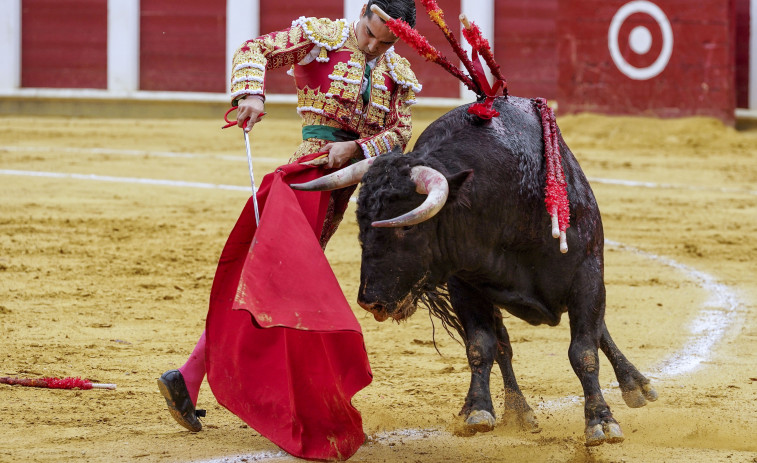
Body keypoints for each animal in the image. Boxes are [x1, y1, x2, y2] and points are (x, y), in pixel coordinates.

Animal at [290, 97, 656, 446]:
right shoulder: (464, 284)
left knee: (595, 331)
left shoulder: (587, 274)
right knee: (504, 345)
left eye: (407, 226)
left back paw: (636, 386)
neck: (508, 200)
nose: (371, 301)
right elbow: (482, 346)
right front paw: (478, 410)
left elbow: (584, 351)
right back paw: (518, 412)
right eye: (362, 222)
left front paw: (601, 422)